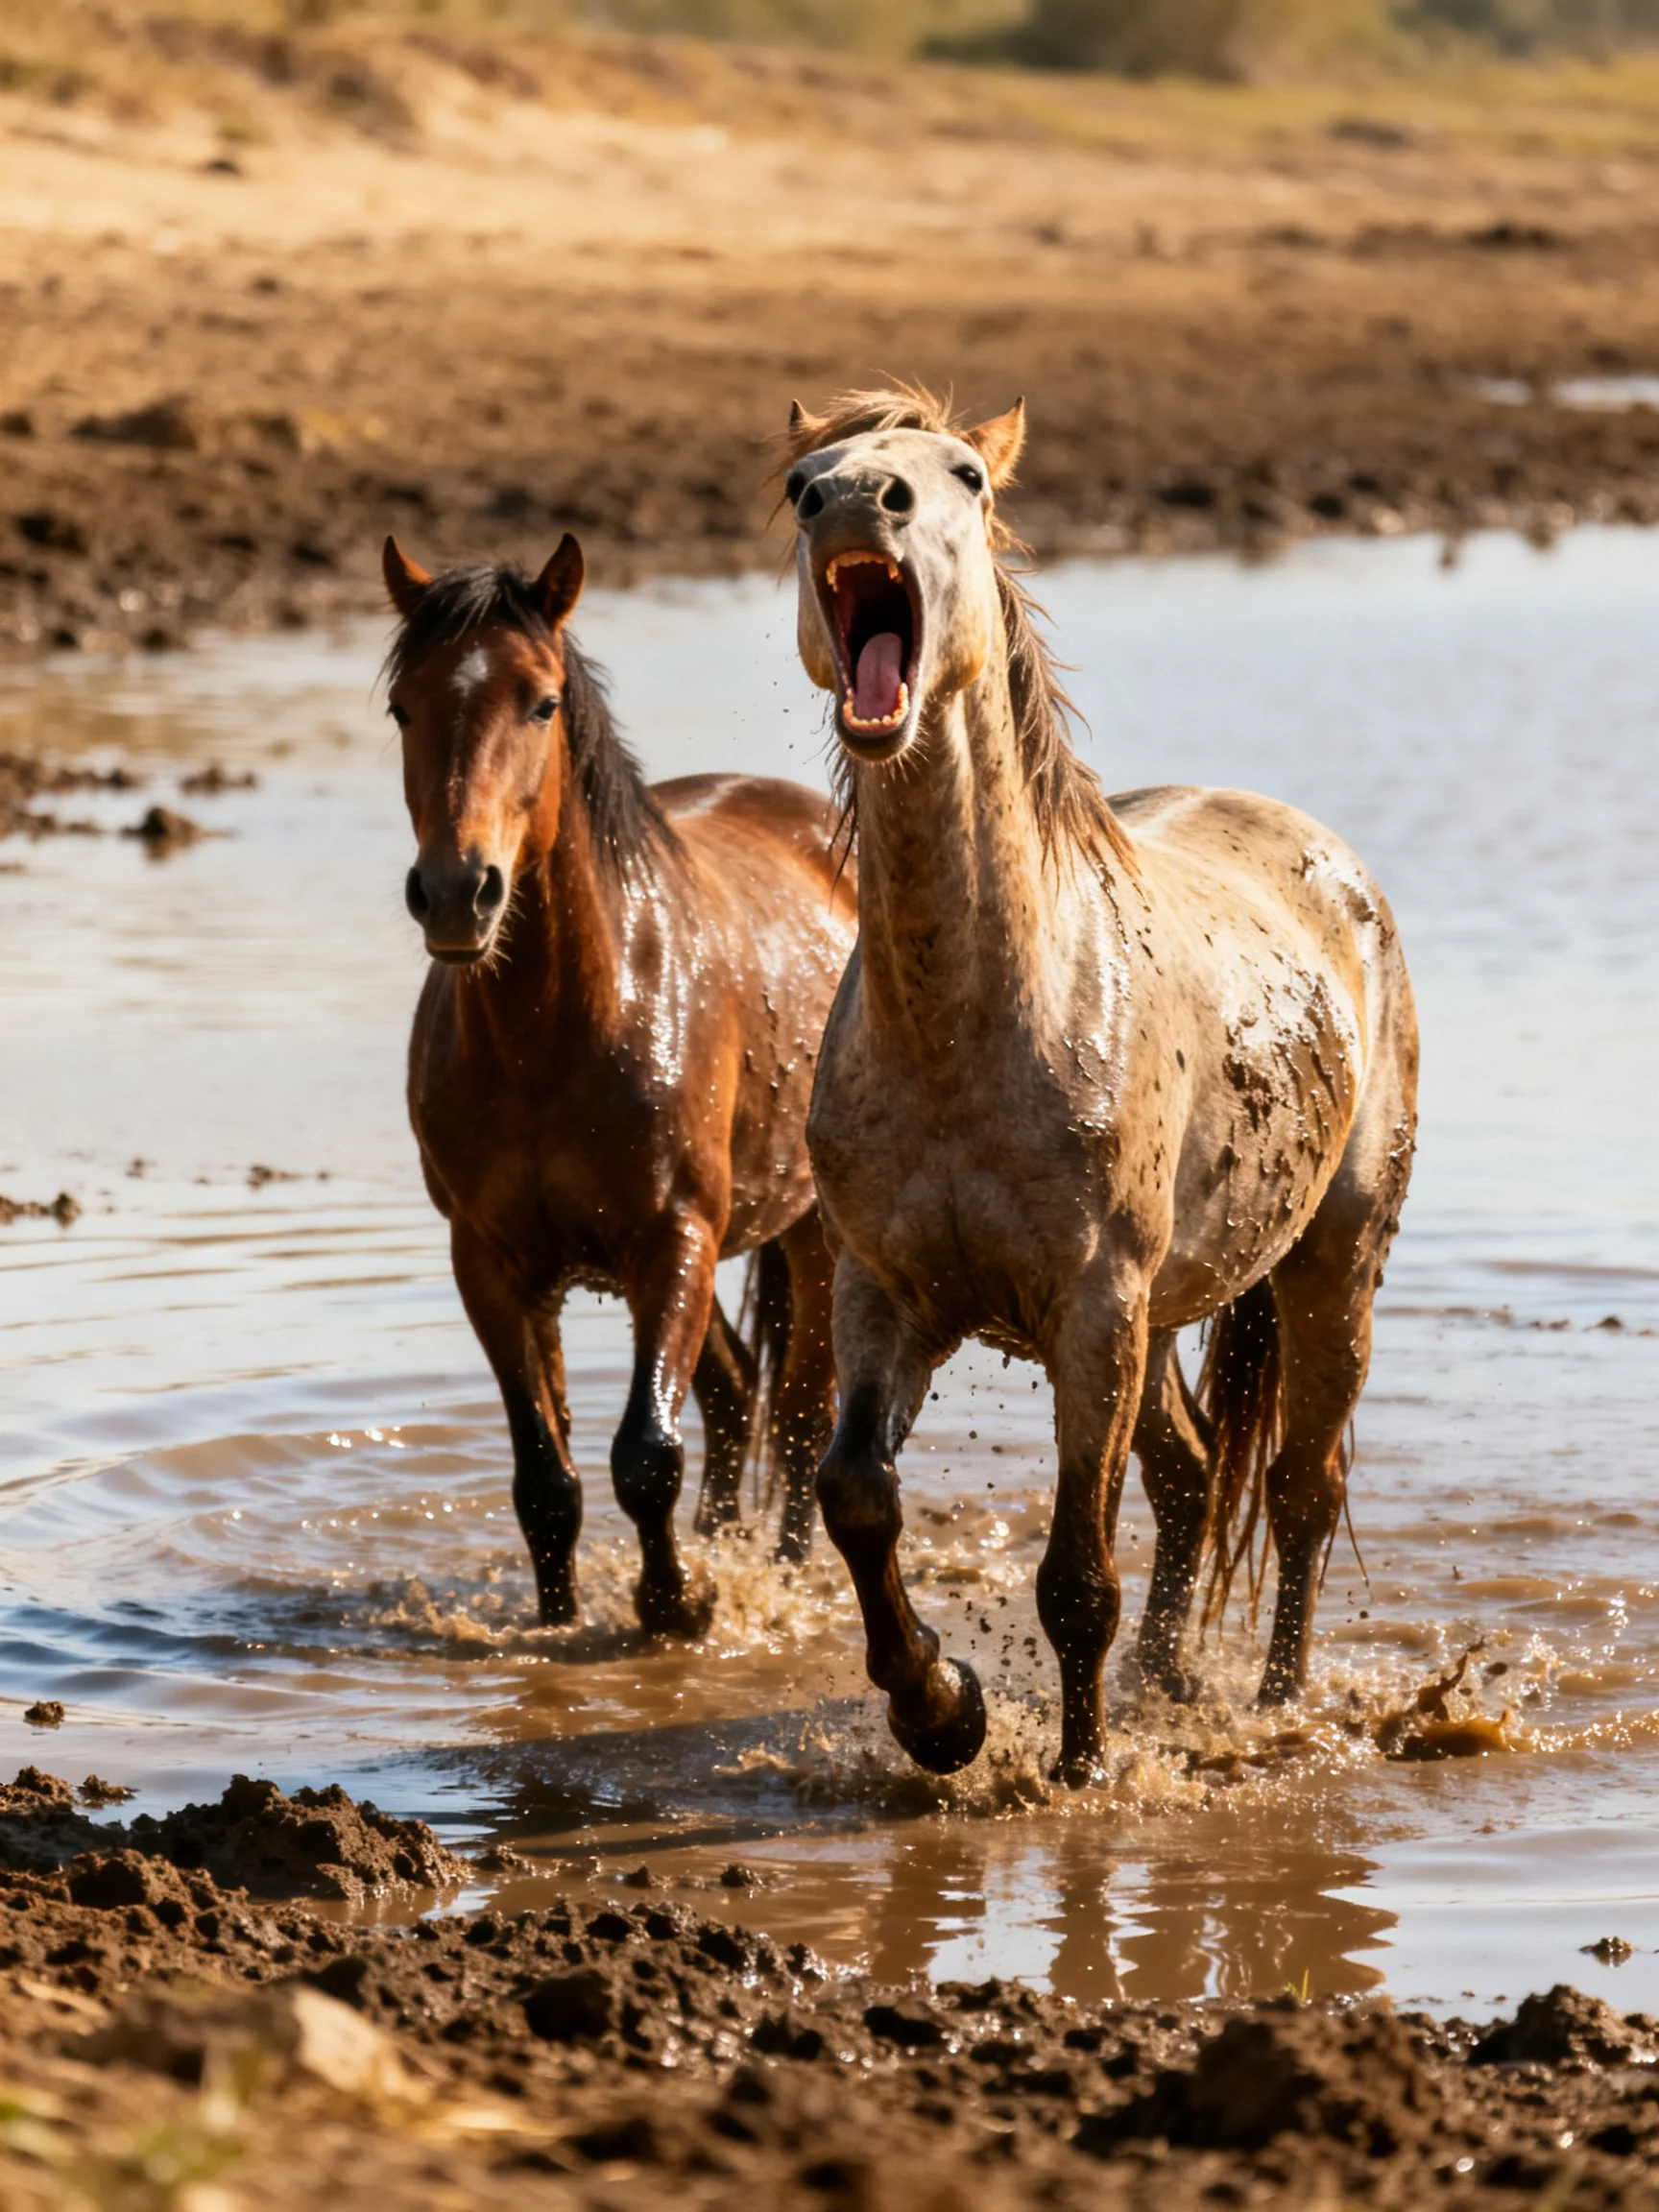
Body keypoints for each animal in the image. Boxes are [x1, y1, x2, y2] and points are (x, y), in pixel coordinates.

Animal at [382, 534, 857, 1638]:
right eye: (402, 707)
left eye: (541, 702)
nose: (457, 891)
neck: (556, 1034)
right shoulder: (492, 1262)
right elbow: (545, 1477)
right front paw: (559, 1624)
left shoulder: (670, 1236)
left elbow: (645, 1455)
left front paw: (681, 1605)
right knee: (732, 1391)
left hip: (811, 1234)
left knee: (801, 1411)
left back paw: (781, 1571)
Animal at [782, 387, 1418, 1784]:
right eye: (802, 482)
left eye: (960, 476)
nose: (855, 504)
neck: (972, 1025)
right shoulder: (884, 1292)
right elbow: (857, 1496)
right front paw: (944, 1710)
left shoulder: (1093, 1311)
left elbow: (1076, 1573)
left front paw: (1077, 1774)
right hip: (1173, 1309)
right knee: (1191, 1477)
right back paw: (1168, 1682)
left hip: (1330, 1264)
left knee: (1299, 1489)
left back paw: (1275, 1706)